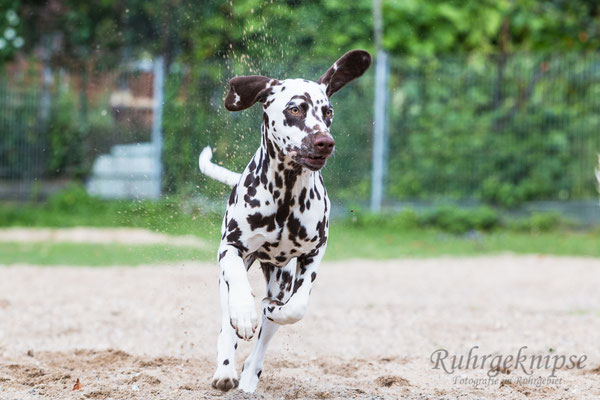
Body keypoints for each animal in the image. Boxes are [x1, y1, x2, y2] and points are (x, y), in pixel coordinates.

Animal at [199, 49, 368, 390]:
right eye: (295, 109)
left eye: (328, 111)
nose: (324, 141)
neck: (285, 195)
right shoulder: (231, 249)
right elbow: (238, 293)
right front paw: (244, 315)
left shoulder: (314, 253)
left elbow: (297, 307)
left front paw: (274, 311)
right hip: (228, 277)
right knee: (227, 320)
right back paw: (225, 368)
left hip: (282, 278)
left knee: (261, 343)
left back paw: (249, 379)